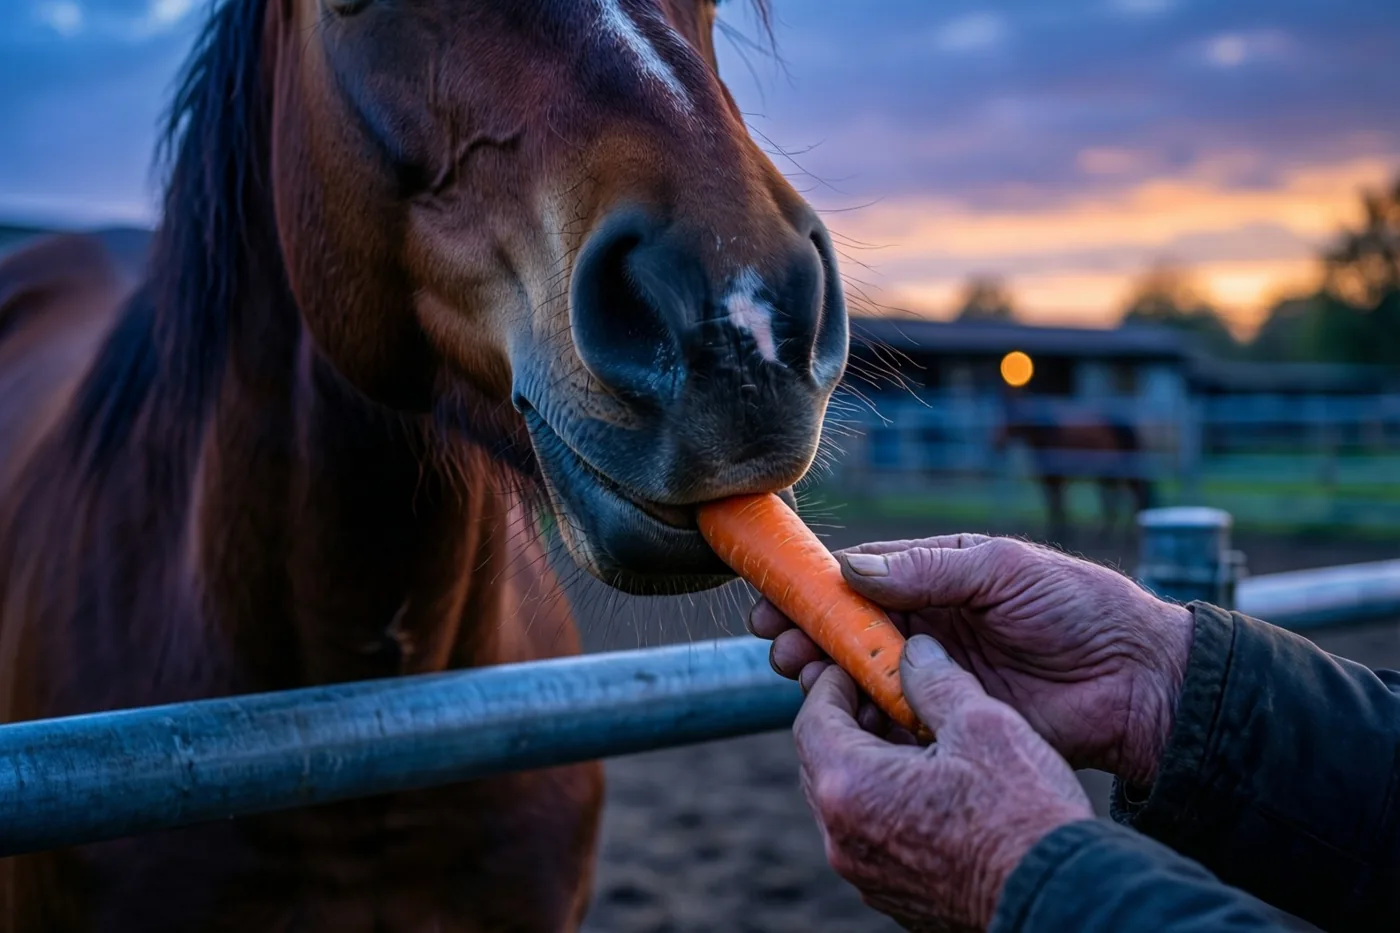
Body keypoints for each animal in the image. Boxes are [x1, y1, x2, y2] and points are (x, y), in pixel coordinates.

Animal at [992, 392, 1154, 545]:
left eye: (1012, 416)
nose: (997, 442)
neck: (1046, 436)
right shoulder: (1048, 479)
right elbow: (1054, 505)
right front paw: (1059, 531)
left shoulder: (1057, 478)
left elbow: (1058, 505)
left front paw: (1060, 533)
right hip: (1107, 472)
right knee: (1116, 498)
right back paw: (1110, 532)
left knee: (1133, 495)